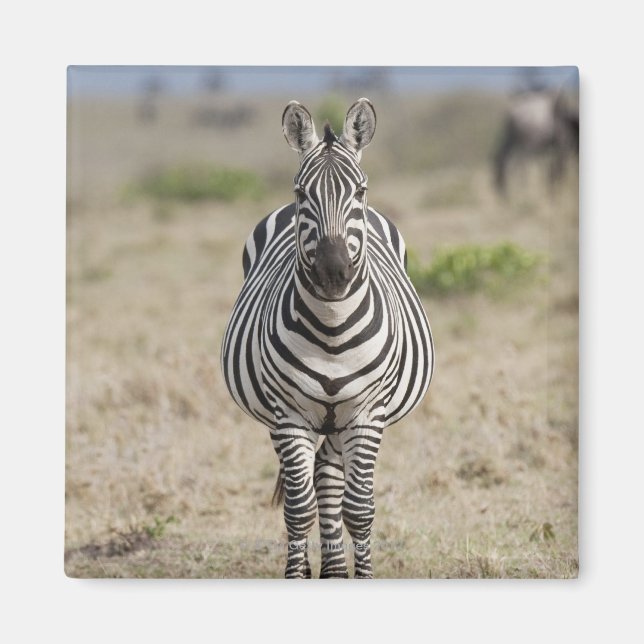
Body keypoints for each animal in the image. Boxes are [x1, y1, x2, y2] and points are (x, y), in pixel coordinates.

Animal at [221, 98, 434, 578]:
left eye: (360, 192)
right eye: (302, 194)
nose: (334, 273)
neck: (332, 329)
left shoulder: (368, 413)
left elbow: (359, 509)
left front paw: (361, 576)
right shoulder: (288, 415)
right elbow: (299, 510)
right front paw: (295, 576)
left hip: (341, 421)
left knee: (329, 480)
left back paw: (335, 570)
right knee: (313, 485)